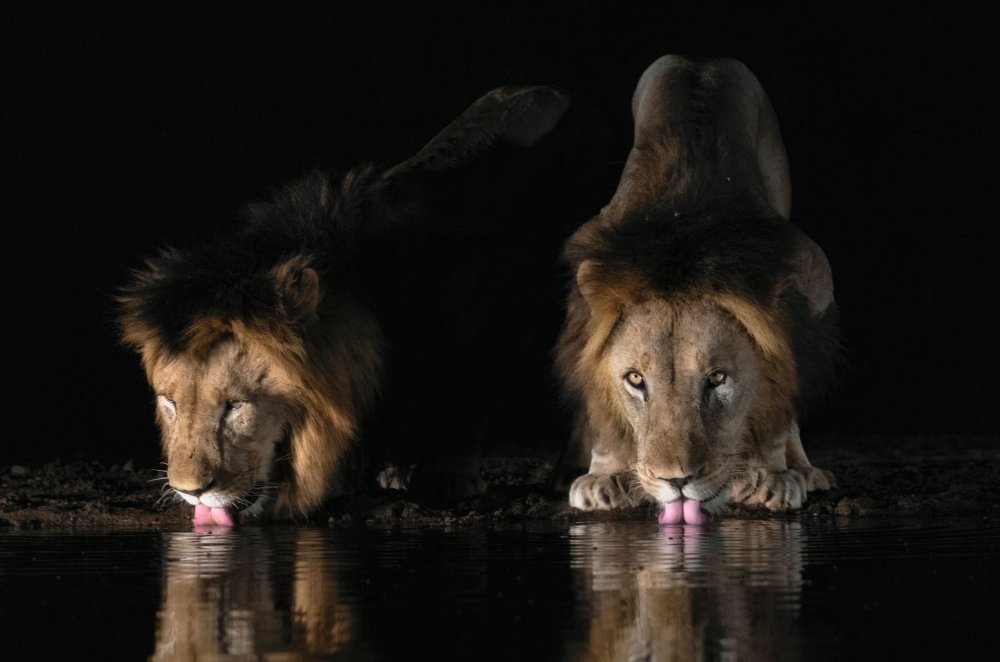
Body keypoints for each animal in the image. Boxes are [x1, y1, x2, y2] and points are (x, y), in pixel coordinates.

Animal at [119, 85, 596, 523]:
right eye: (169, 403)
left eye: (235, 405)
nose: (189, 491)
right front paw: (379, 474)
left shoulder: (487, 319)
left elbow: (466, 399)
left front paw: (448, 478)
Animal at [555, 56, 840, 523]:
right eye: (635, 380)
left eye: (717, 378)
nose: (677, 481)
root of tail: (703, 58)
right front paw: (603, 477)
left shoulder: (810, 281)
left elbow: (780, 398)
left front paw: (770, 476)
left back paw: (802, 469)